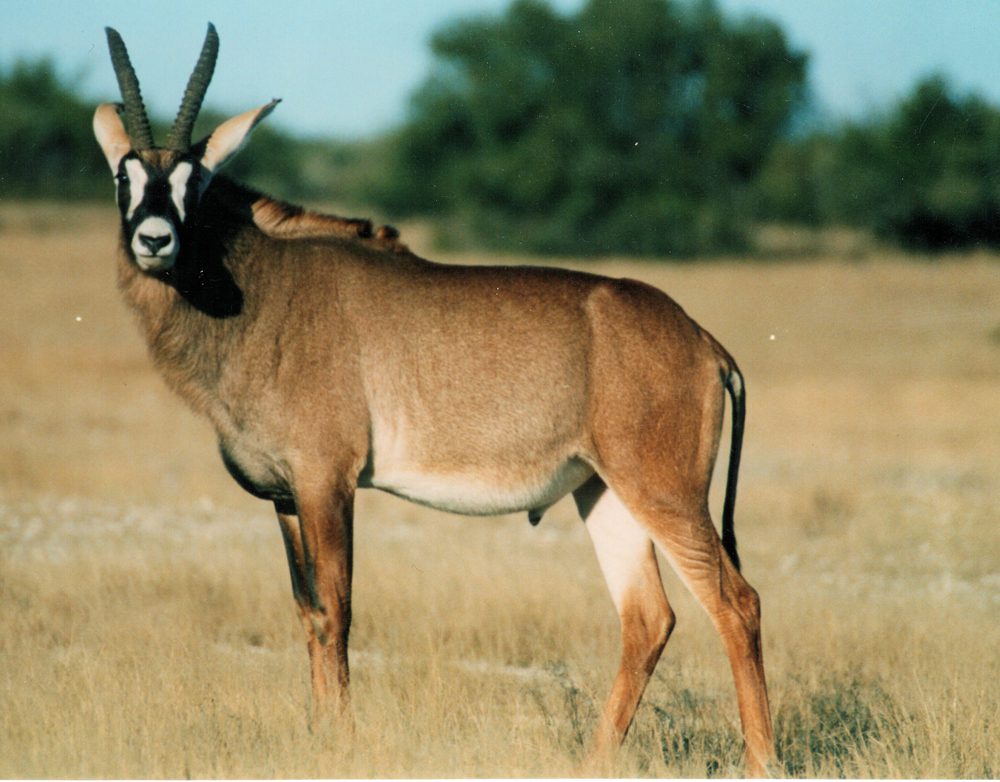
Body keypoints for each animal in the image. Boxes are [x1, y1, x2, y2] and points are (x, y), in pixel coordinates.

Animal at [93, 24, 775, 775]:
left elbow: (337, 607)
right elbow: (308, 611)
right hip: (605, 492)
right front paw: (318, 732)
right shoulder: (285, 497)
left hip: (663, 491)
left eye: (196, 180)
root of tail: (703, 340)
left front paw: (340, 741)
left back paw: (762, 760)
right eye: (125, 175)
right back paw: (594, 759)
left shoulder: (327, 483)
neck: (261, 289)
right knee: (648, 617)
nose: (154, 240)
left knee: (736, 603)